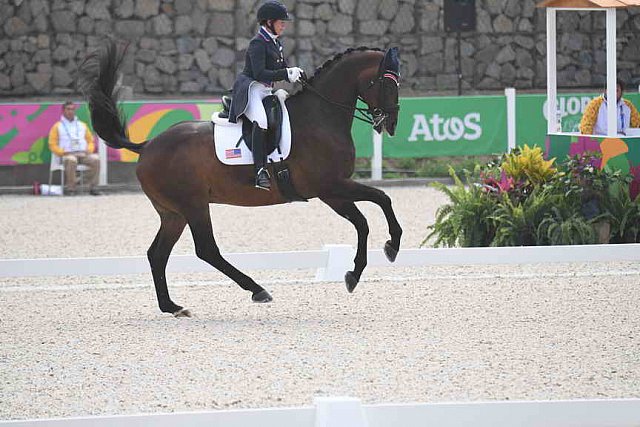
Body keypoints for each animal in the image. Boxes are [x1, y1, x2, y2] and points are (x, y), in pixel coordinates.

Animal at [79, 39, 400, 318]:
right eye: (387, 82)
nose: (392, 124)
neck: (320, 117)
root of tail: (147, 146)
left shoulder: (333, 192)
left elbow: (363, 220)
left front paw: (355, 273)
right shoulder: (330, 186)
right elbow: (382, 198)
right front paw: (392, 246)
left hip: (173, 213)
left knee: (157, 254)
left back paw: (172, 306)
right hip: (193, 205)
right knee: (206, 249)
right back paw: (257, 290)